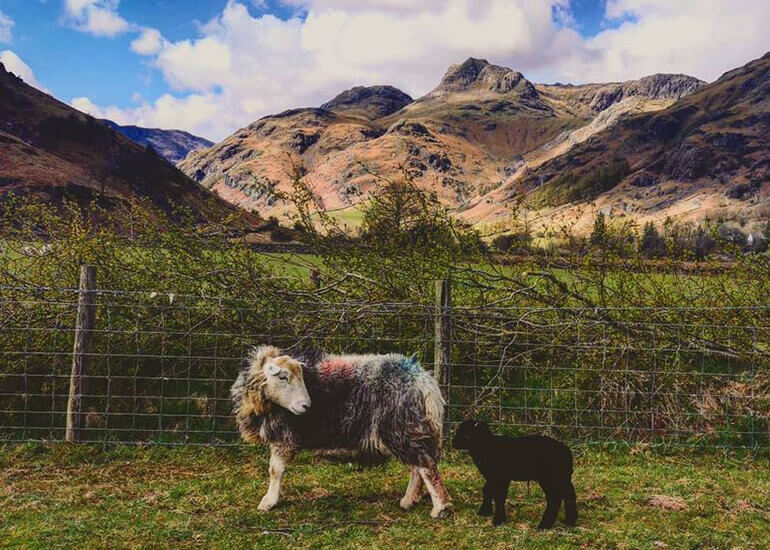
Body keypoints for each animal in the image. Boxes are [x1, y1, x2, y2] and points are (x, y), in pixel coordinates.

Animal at [231, 348, 452, 520]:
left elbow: (274, 470)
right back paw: (408, 501)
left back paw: (440, 507)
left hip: (401, 426)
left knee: (426, 466)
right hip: (411, 429)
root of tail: (423, 379)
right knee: (418, 467)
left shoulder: (284, 437)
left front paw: (268, 502)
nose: (306, 406)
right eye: (282, 376)